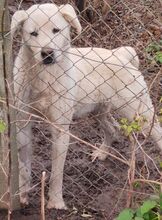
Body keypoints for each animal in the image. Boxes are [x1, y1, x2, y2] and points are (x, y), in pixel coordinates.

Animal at [11, 3, 162, 210]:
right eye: (33, 33)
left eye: (56, 30)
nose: (47, 53)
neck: (44, 77)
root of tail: (121, 54)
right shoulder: (22, 125)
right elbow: (23, 166)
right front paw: (22, 195)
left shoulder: (60, 130)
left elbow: (57, 173)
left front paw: (55, 202)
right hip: (99, 111)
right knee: (113, 129)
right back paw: (102, 154)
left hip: (140, 114)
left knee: (158, 133)